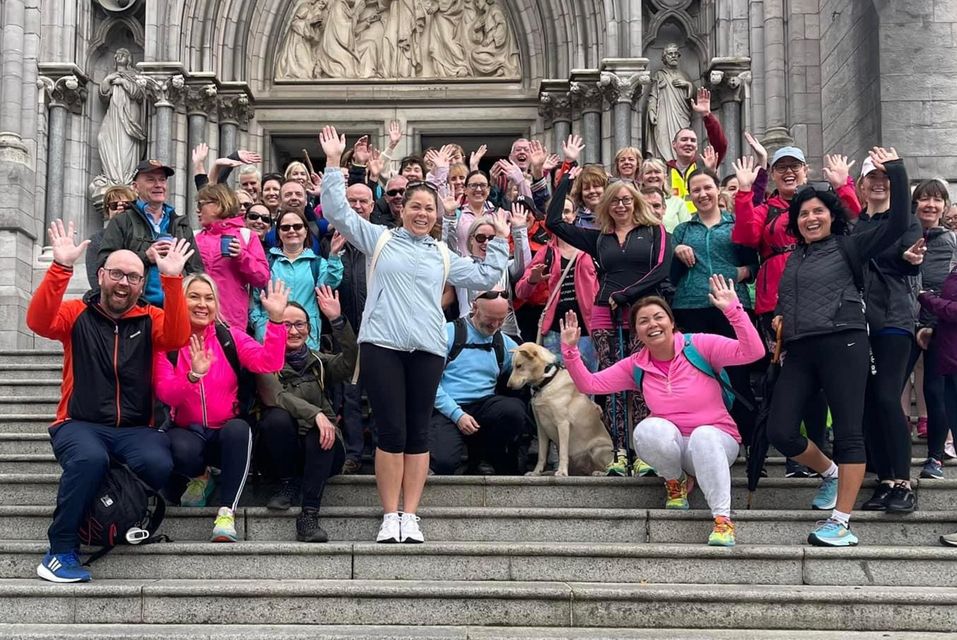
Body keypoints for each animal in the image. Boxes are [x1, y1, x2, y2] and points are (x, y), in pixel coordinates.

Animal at [508, 342, 612, 472]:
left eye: (519, 366)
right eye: (513, 366)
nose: (508, 386)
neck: (547, 381)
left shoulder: (562, 424)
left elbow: (562, 452)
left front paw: (561, 472)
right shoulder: (541, 427)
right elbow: (542, 454)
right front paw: (536, 472)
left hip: (597, 450)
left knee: (607, 468)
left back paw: (599, 473)